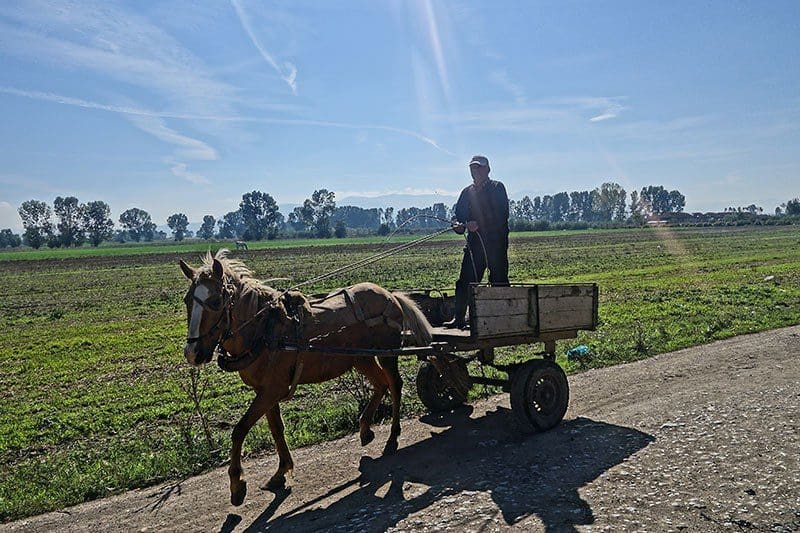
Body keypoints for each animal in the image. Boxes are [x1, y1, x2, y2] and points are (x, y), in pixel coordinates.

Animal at [179, 251, 434, 504]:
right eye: (187, 300)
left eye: (215, 302)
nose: (192, 353)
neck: (264, 329)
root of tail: (389, 294)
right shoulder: (266, 390)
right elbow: (276, 429)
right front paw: (281, 471)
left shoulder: (272, 390)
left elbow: (240, 430)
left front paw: (237, 484)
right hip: (361, 358)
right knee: (381, 385)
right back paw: (365, 429)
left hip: (387, 353)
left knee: (395, 385)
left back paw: (392, 438)